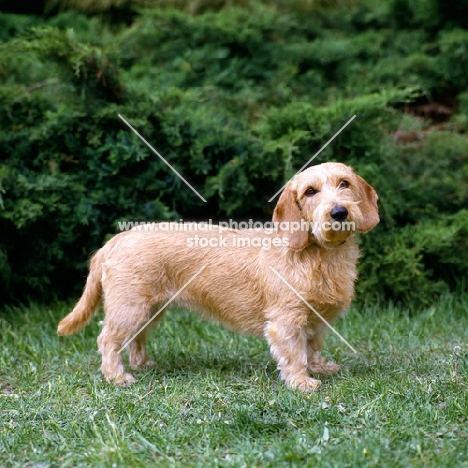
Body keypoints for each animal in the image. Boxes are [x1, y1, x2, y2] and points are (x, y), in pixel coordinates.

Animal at [57, 162, 380, 392]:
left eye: (344, 183)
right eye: (310, 191)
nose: (339, 212)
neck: (319, 256)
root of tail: (115, 240)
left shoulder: (316, 320)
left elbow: (312, 348)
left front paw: (320, 367)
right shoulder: (286, 322)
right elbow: (294, 354)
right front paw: (302, 382)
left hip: (150, 310)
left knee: (136, 338)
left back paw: (143, 364)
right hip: (129, 309)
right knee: (107, 339)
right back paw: (117, 376)